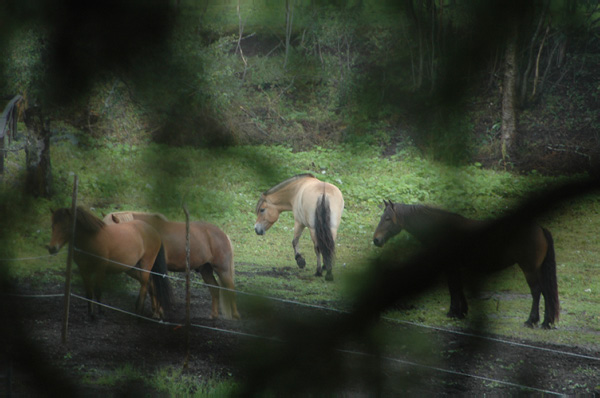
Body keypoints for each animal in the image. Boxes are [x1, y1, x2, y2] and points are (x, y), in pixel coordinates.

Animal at [104, 211, 240, 320]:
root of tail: (223, 234)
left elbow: (156, 288)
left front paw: (159, 313)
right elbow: (152, 289)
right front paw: (156, 312)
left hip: (223, 270)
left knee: (231, 288)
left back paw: (235, 315)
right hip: (206, 270)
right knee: (215, 289)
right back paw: (213, 315)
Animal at [372, 202, 560, 330]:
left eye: (387, 218)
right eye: (381, 217)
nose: (376, 240)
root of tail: (540, 229)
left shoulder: (450, 266)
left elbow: (453, 288)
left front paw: (453, 312)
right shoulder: (455, 266)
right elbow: (458, 287)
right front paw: (461, 312)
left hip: (529, 269)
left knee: (537, 292)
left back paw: (531, 321)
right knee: (546, 292)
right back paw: (546, 322)